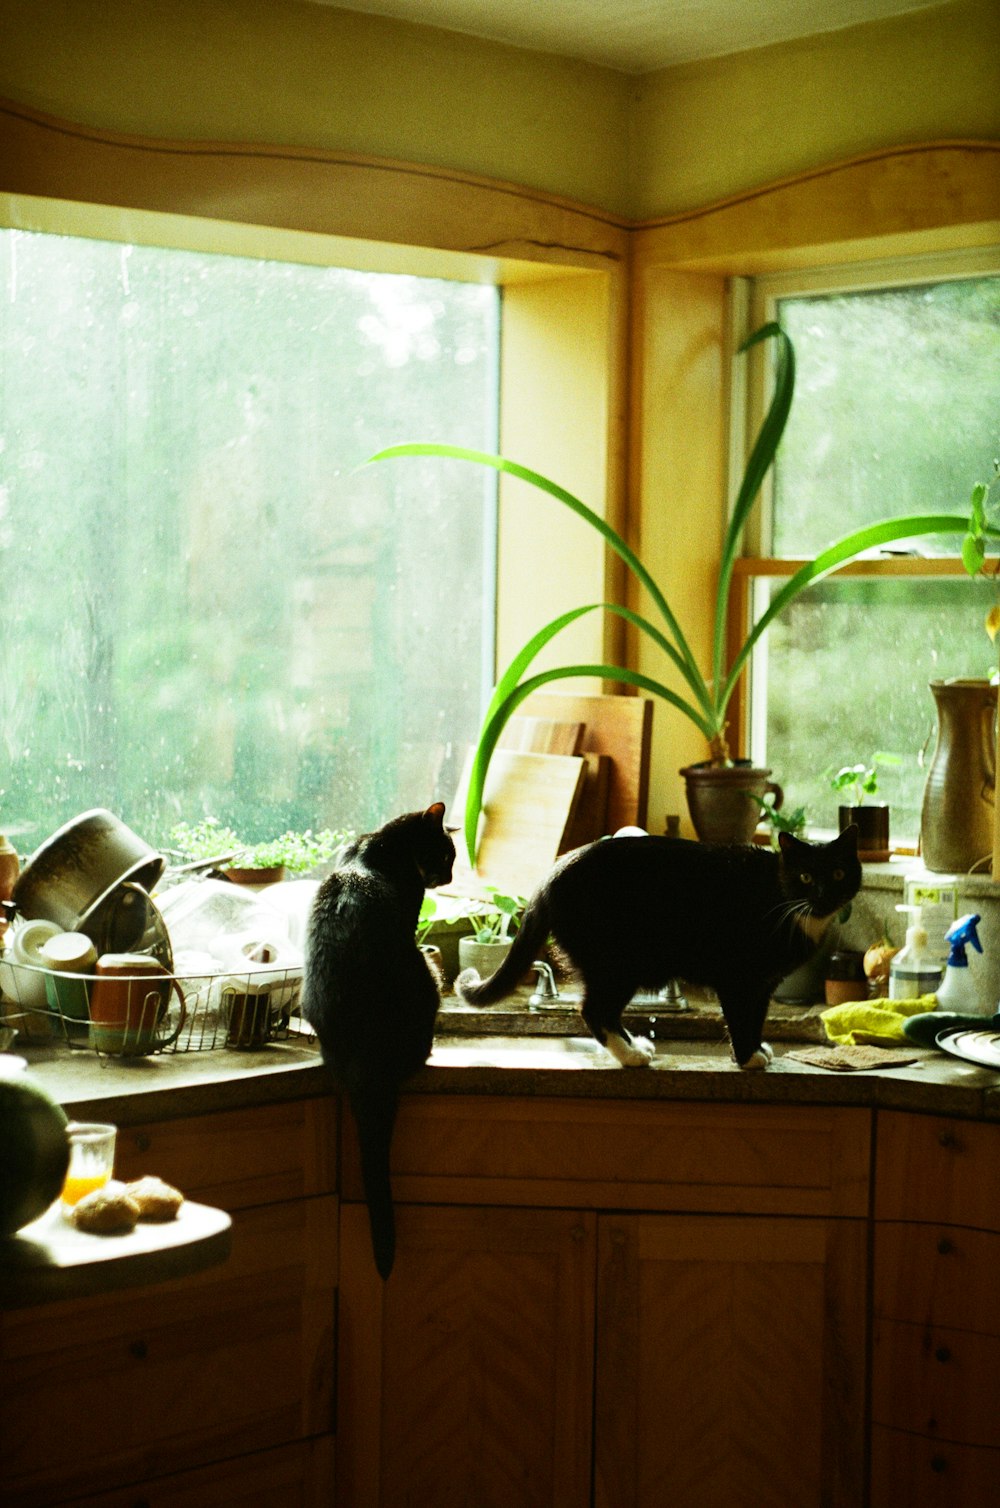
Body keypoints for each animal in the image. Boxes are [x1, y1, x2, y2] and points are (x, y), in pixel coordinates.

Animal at [458, 826, 862, 1073]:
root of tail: (548, 879)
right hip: (619, 963)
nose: (824, 894)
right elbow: (738, 1017)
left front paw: (753, 1050)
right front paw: (747, 1057)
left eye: (839, 873)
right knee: (593, 1009)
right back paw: (633, 1055)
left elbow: (756, 1016)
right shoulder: (738, 978)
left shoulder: (764, 983)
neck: (786, 901)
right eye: (805, 877)